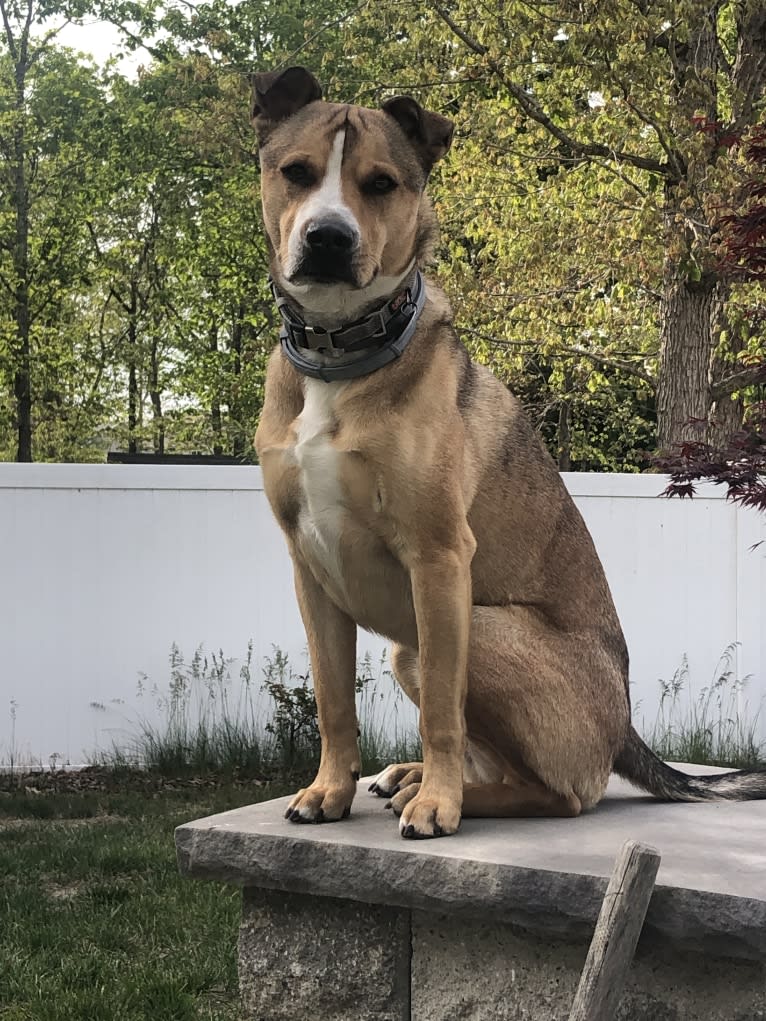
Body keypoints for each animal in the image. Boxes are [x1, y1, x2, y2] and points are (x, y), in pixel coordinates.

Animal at [252, 67, 766, 841]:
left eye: (380, 183)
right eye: (297, 172)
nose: (329, 238)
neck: (340, 358)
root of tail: (624, 728)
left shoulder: (438, 559)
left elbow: (442, 711)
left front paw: (438, 804)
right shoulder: (310, 569)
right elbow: (333, 702)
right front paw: (328, 789)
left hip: (468, 632)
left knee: (560, 790)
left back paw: (441, 792)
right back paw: (408, 777)